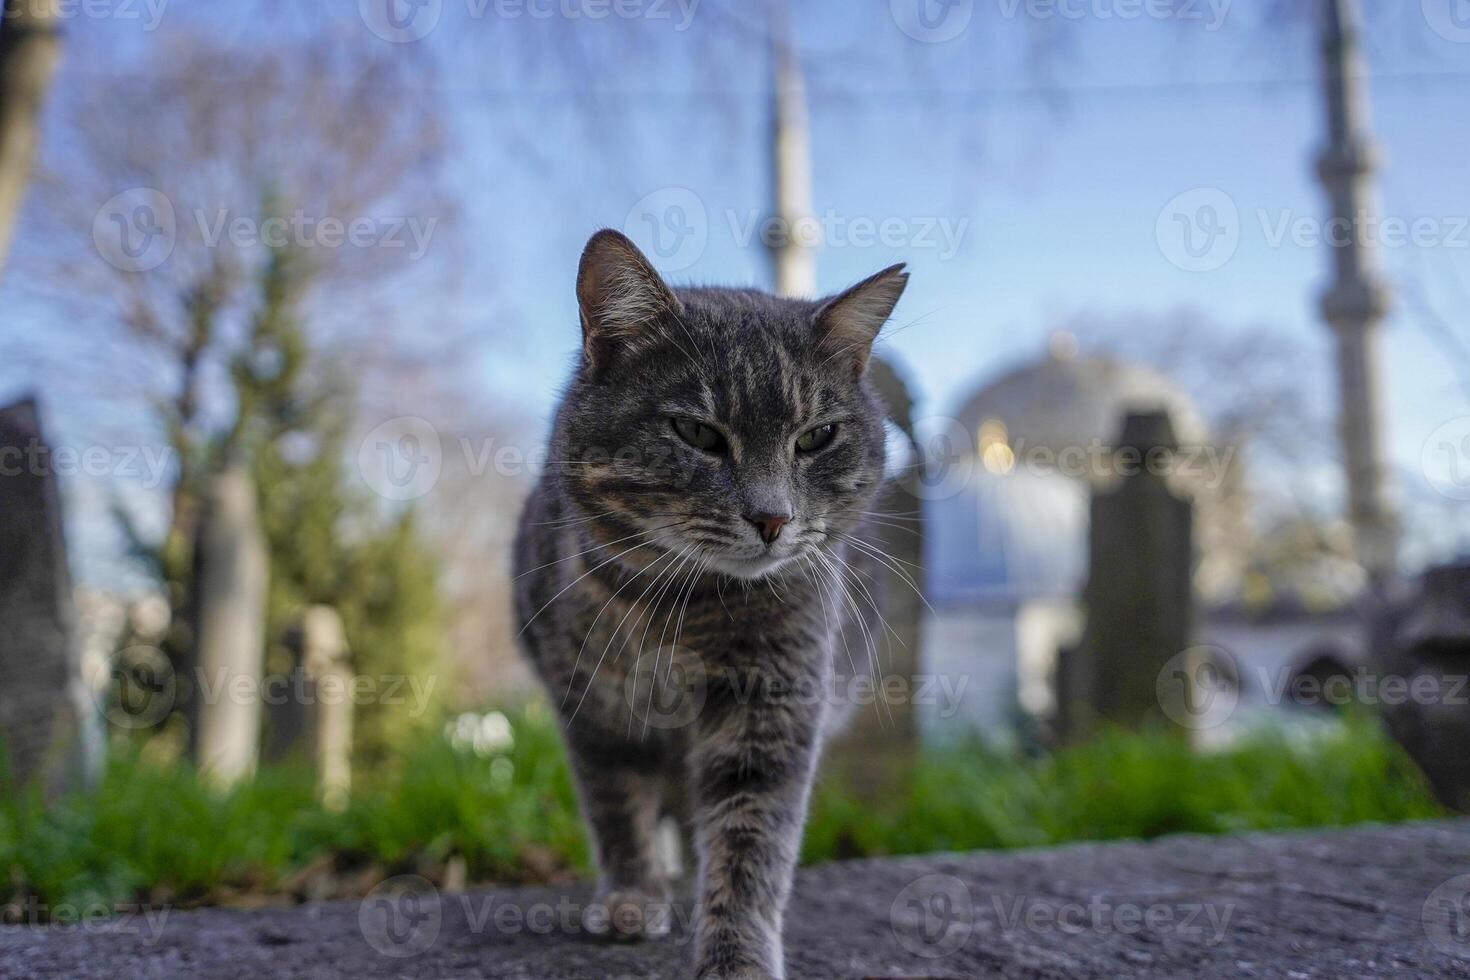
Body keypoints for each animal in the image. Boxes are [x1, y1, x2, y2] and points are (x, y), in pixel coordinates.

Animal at [514, 232, 905, 980]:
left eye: (817, 437)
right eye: (697, 433)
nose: (773, 518)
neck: (680, 607)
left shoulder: (773, 704)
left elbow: (751, 842)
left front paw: (736, 954)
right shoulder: (594, 711)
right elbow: (616, 810)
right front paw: (634, 897)